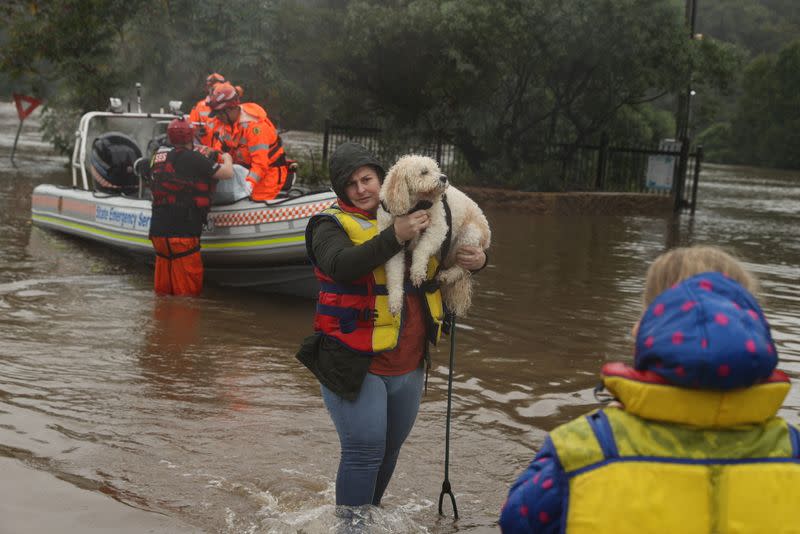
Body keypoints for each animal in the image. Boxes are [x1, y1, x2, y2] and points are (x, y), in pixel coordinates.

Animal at [378, 155, 490, 318]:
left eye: (437, 169)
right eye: (424, 172)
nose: (444, 177)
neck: (414, 207)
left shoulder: (438, 228)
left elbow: (421, 249)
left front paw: (417, 272)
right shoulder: (394, 244)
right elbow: (394, 274)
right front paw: (394, 302)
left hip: (469, 236)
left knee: (463, 267)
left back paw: (447, 275)